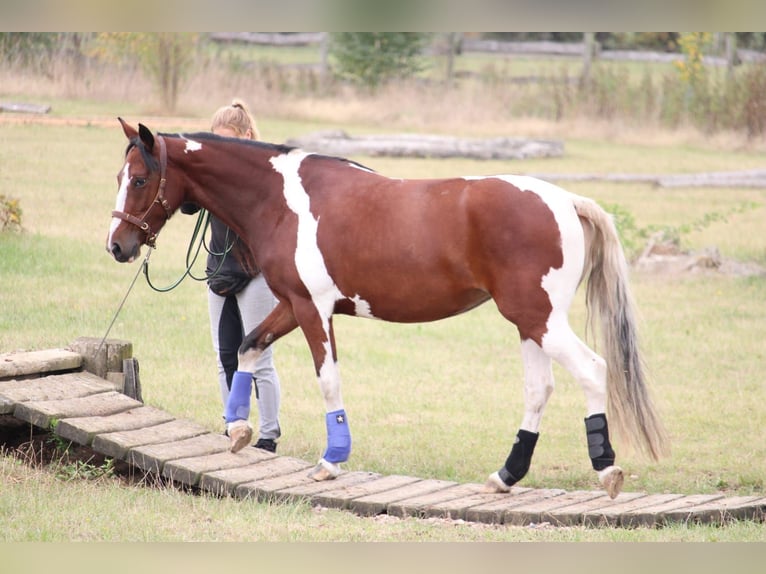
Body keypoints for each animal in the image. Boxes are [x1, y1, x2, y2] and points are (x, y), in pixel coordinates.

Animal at [107, 119, 668, 498]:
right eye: (119, 175)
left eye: (140, 180)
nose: (117, 246)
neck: (281, 199)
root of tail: (565, 200)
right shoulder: (291, 305)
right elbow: (247, 347)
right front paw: (241, 429)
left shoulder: (313, 310)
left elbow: (327, 379)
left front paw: (331, 460)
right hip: (529, 323)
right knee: (540, 389)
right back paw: (505, 475)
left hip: (539, 320)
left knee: (593, 369)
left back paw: (606, 468)